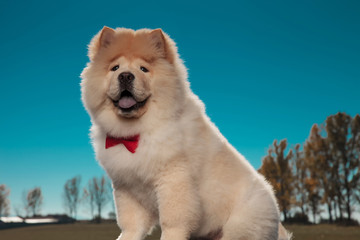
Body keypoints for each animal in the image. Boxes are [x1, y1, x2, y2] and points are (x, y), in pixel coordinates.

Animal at [80, 26, 292, 240]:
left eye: (143, 69)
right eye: (115, 68)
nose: (125, 76)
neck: (137, 132)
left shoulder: (173, 180)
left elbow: (173, 221)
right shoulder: (127, 187)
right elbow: (131, 225)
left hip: (239, 226)